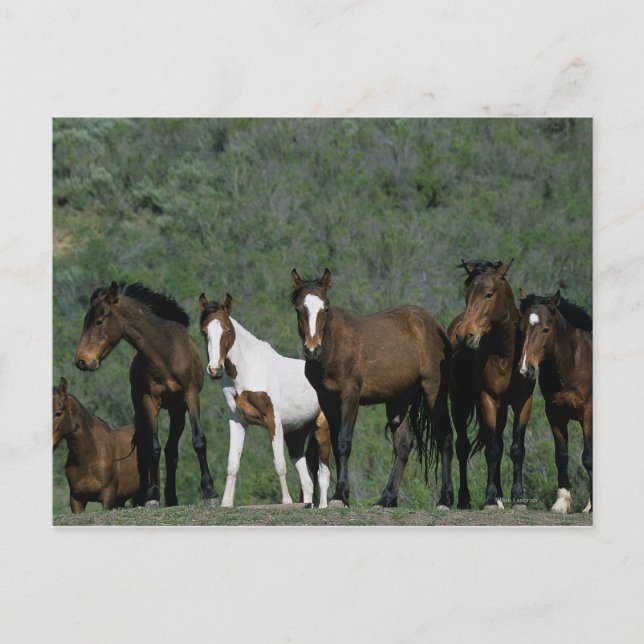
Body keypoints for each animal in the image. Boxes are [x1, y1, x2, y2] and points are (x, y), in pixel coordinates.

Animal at [75, 281, 218, 508]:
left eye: (98, 321)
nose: (81, 361)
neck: (167, 353)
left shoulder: (191, 396)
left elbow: (198, 440)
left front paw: (210, 492)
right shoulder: (148, 402)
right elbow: (152, 447)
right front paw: (151, 495)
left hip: (177, 411)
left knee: (171, 451)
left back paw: (172, 498)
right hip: (141, 411)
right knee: (147, 449)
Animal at [199, 292, 331, 508]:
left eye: (228, 331)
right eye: (204, 332)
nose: (215, 369)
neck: (249, 370)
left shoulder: (273, 420)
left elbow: (279, 464)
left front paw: (286, 501)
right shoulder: (237, 420)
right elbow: (232, 463)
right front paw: (226, 503)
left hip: (322, 428)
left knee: (323, 473)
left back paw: (322, 507)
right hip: (296, 435)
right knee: (307, 481)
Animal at [289, 268, 453, 508]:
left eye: (325, 308)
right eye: (300, 308)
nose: (312, 349)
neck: (333, 346)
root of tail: (434, 325)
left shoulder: (350, 396)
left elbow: (344, 442)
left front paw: (339, 496)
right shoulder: (327, 400)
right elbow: (337, 444)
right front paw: (343, 495)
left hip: (433, 390)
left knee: (445, 437)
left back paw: (445, 499)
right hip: (397, 401)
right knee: (403, 446)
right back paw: (387, 498)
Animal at [447, 259, 535, 510]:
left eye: (489, 294)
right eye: (466, 294)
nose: (464, 336)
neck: (506, 355)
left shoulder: (523, 402)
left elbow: (516, 449)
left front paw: (517, 498)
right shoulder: (487, 399)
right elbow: (492, 450)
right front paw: (488, 499)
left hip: (502, 409)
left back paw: (500, 495)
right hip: (459, 404)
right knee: (463, 446)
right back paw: (464, 499)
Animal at [518, 290, 592, 513]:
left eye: (545, 329)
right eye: (521, 328)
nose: (526, 369)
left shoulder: (588, 415)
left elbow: (588, 457)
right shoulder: (555, 414)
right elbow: (561, 456)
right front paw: (561, 503)